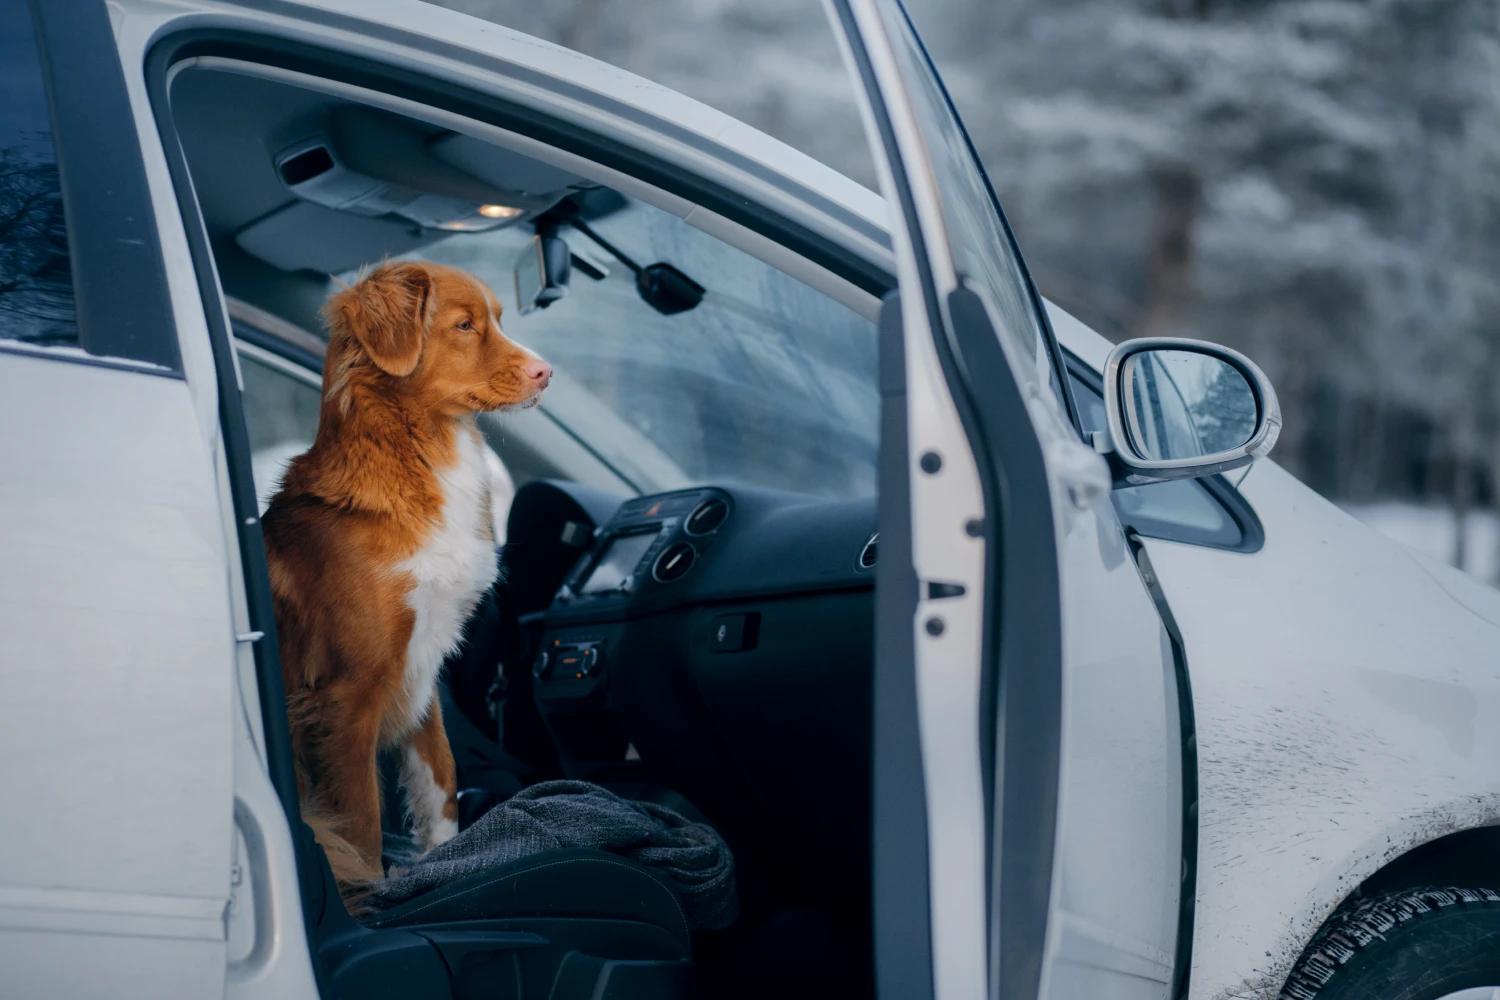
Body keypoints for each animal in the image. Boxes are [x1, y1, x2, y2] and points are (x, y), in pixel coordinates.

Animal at [264, 260, 552, 881]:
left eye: (498, 318)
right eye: (465, 325)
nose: (546, 373)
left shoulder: (422, 666)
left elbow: (440, 781)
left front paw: (445, 858)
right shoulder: (348, 696)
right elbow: (360, 827)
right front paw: (375, 888)